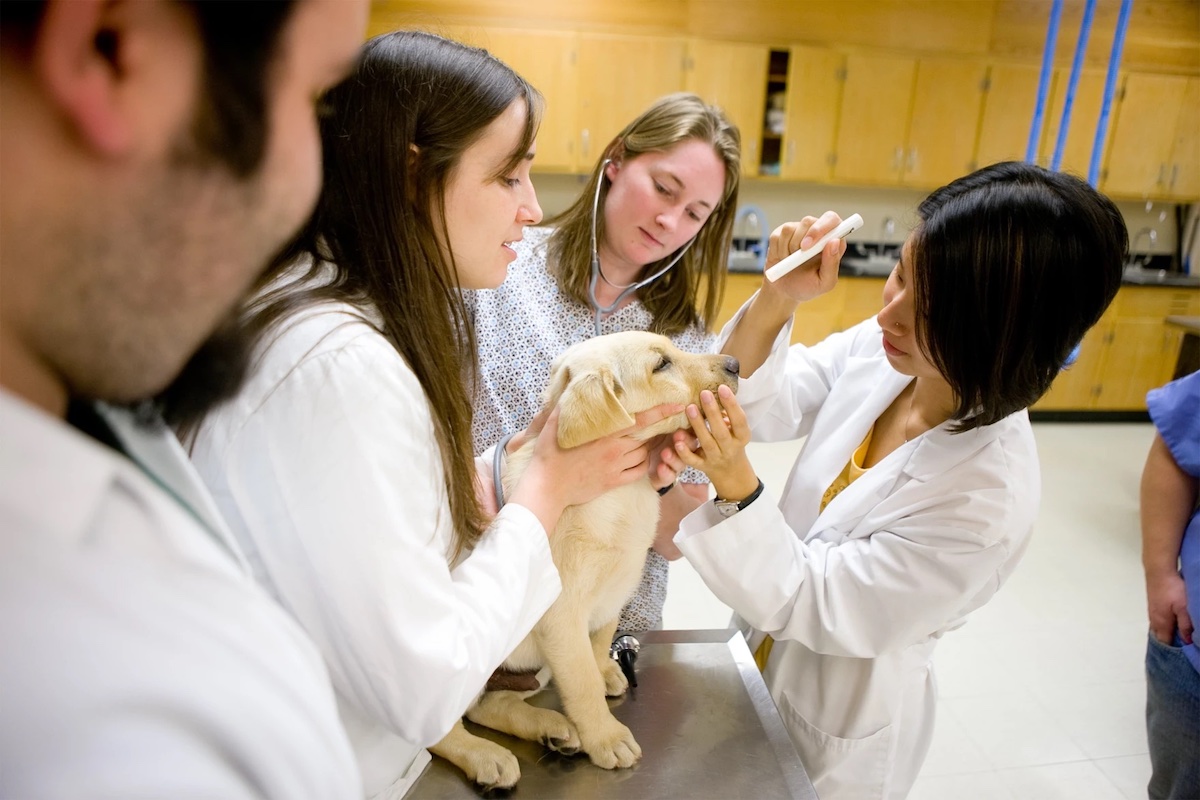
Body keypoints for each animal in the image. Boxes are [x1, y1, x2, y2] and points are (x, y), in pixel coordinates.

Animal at [432, 331, 739, 786]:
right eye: (661, 365)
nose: (736, 364)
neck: (618, 495)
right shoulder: (562, 616)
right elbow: (581, 682)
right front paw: (606, 737)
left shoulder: (612, 594)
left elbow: (596, 652)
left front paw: (607, 674)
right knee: (442, 730)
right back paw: (487, 756)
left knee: (489, 706)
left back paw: (552, 729)